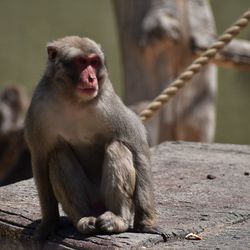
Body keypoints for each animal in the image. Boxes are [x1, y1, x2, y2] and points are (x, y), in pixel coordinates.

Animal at [24, 36, 166, 241]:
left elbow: (137, 147)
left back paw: (117, 219)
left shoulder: (109, 104)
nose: (91, 78)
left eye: (94, 62)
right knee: (59, 155)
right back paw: (84, 220)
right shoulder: (38, 109)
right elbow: (41, 159)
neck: (73, 101)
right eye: (81, 62)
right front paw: (49, 223)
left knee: (117, 147)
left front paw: (146, 224)